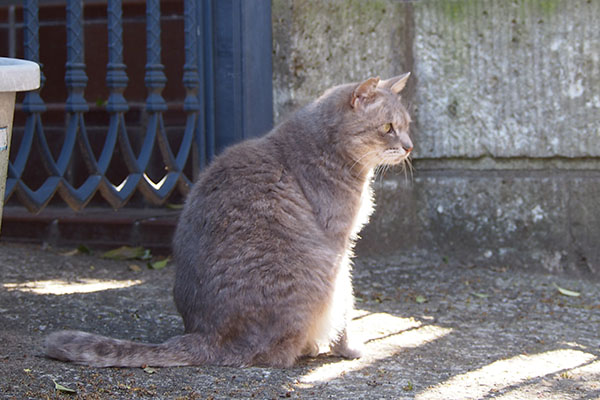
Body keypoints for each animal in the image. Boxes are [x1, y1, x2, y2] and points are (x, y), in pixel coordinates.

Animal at [45, 73, 412, 368]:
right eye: (387, 128)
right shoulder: (340, 245)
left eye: (407, 126)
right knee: (278, 354)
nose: (409, 147)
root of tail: (206, 335)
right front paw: (349, 348)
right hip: (318, 272)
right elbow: (347, 305)